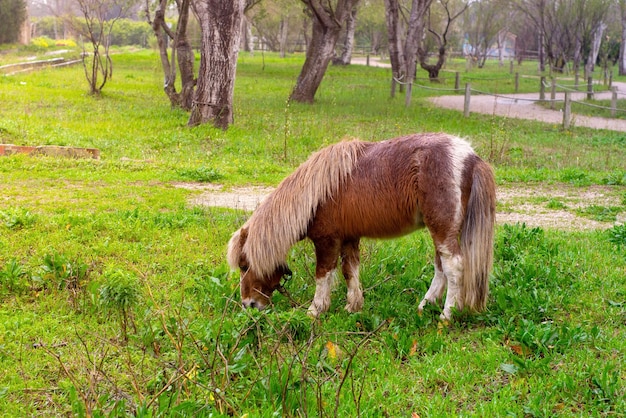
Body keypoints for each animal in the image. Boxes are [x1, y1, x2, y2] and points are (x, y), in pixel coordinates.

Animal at [227, 134, 494, 320]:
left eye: (244, 266)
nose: (248, 305)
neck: (315, 194)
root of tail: (470, 157)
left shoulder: (327, 241)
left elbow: (323, 275)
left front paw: (315, 310)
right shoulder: (349, 238)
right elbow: (350, 272)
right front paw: (353, 307)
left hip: (442, 229)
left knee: (453, 268)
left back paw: (446, 316)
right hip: (440, 232)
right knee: (441, 268)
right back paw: (423, 306)